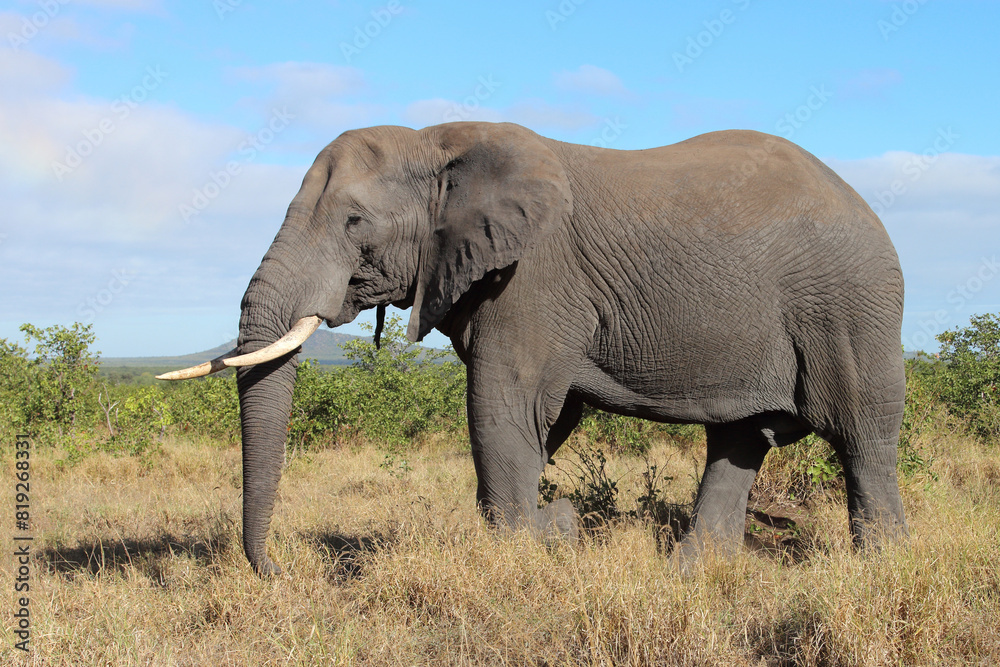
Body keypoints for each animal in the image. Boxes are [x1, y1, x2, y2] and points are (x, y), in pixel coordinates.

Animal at [160, 122, 912, 576]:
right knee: (738, 439)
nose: (281, 568)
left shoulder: (533, 276)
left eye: (353, 222)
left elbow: (505, 407)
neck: (437, 141)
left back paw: (882, 565)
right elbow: (536, 422)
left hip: (850, 305)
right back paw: (690, 571)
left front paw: (538, 540)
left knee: (861, 432)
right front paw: (548, 530)